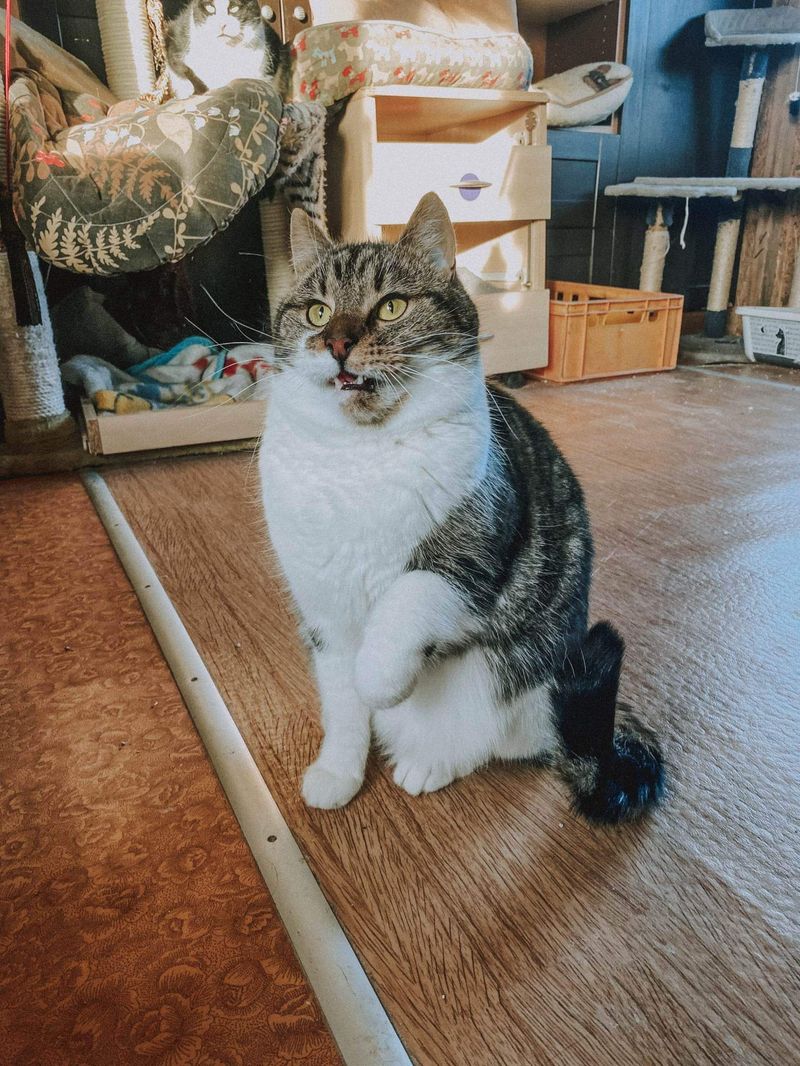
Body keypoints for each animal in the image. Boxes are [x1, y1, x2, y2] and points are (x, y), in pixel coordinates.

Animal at [258, 192, 665, 823]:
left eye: (392, 307)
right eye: (318, 313)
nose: (337, 344)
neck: (360, 458)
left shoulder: (470, 553)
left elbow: (403, 603)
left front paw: (379, 677)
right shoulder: (323, 607)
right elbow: (343, 703)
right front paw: (338, 772)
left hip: (512, 679)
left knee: (494, 740)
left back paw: (429, 762)